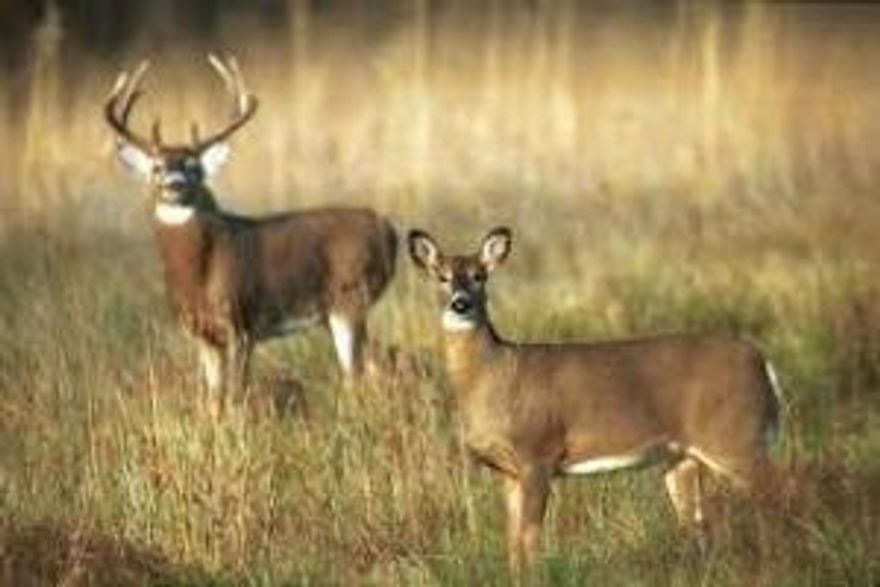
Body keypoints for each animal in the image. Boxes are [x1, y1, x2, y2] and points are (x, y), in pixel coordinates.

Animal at [104, 55, 398, 408]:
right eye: (156, 167)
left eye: (193, 167)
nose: (175, 185)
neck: (198, 275)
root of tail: (387, 228)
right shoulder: (203, 334)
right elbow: (213, 401)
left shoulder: (241, 323)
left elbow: (236, 396)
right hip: (336, 312)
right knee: (376, 364)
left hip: (349, 298)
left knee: (358, 374)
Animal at [408, 226, 784, 576]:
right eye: (441, 276)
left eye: (479, 276)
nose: (460, 303)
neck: (496, 374)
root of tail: (762, 361)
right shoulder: (507, 471)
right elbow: (512, 542)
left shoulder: (538, 453)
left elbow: (529, 536)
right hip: (684, 457)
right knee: (698, 523)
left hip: (734, 436)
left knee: (778, 491)